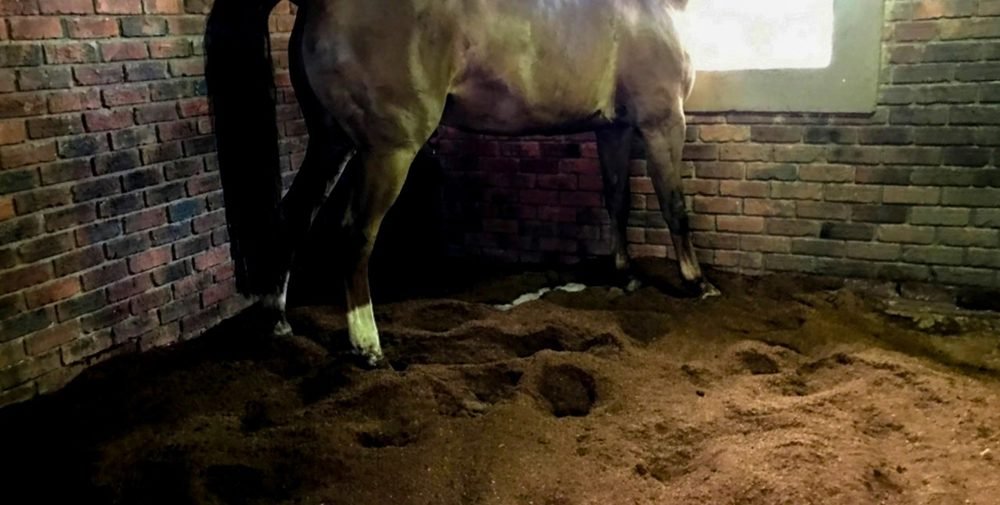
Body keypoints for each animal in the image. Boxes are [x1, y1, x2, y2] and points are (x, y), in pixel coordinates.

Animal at [205, 0, 718, 367]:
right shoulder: (662, 122)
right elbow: (674, 206)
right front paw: (697, 283)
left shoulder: (613, 128)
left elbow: (618, 200)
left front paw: (626, 275)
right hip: (388, 151)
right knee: (355, 234)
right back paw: (368, 345)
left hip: (332, 143)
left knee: (293, 217)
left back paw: (277, 322)